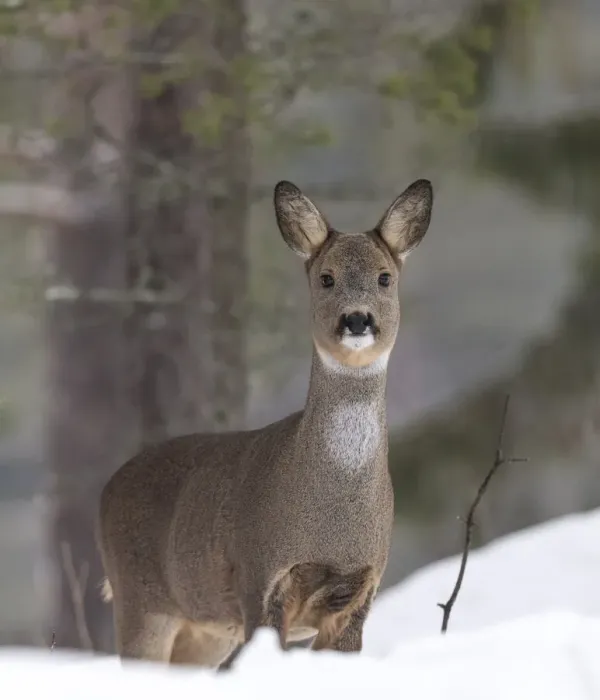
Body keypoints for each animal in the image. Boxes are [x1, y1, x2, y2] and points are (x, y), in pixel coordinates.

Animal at [98, 177, 434, 668]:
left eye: (384, 277)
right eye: (326, 277)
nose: (357, 319)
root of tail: (107, 489)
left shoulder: (359, 590)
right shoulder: (259, 576)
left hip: (204, 629)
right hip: (141, 601)